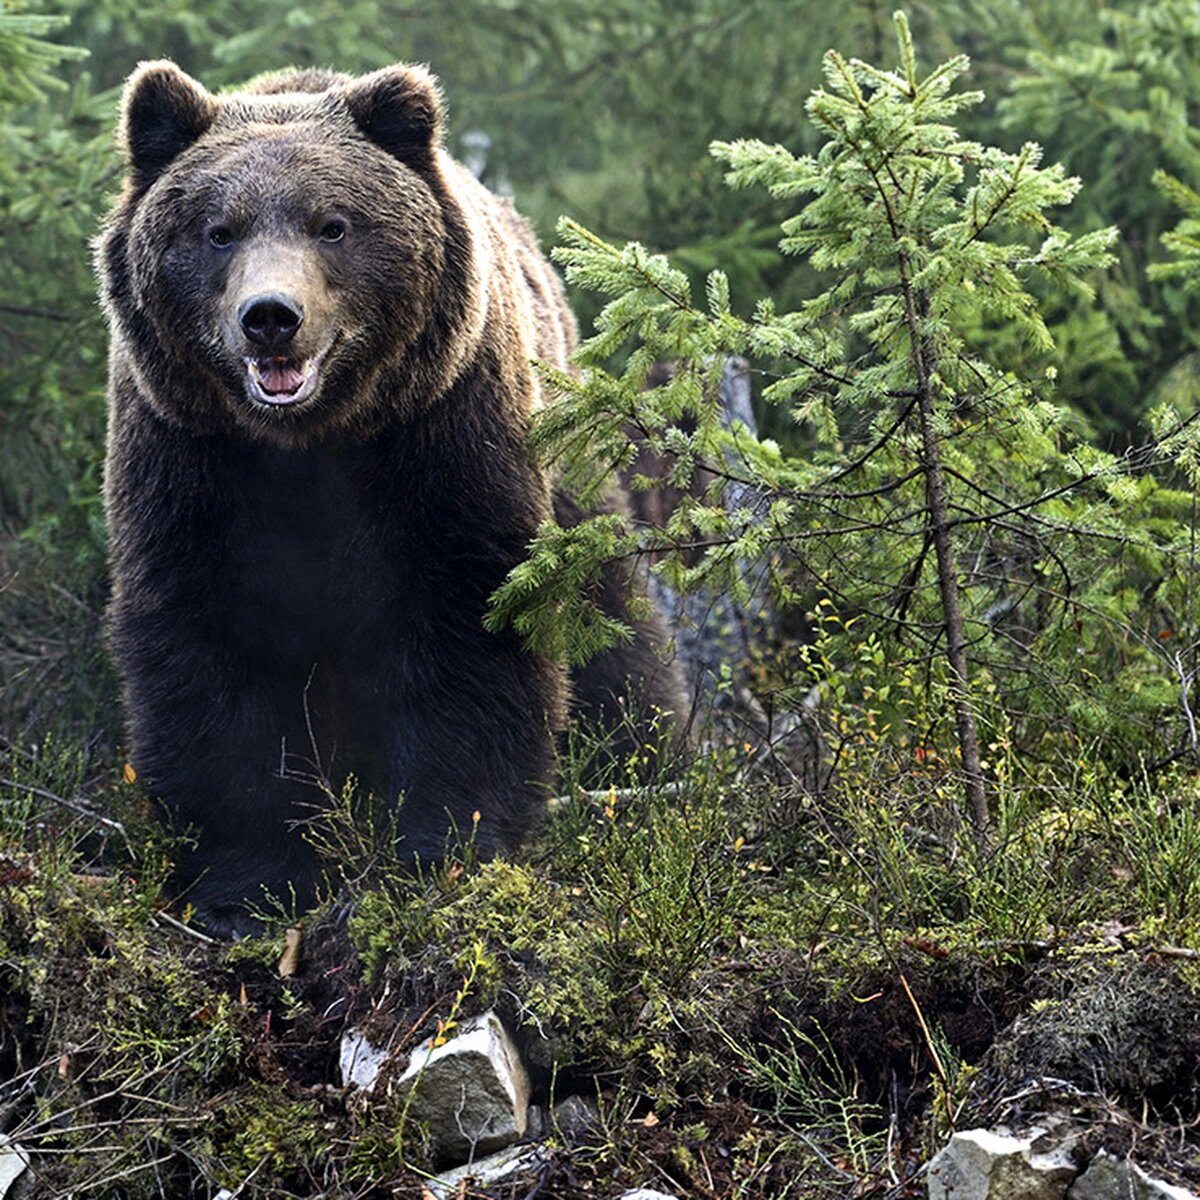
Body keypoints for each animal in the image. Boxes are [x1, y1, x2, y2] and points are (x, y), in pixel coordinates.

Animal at [98, 58, 686, 936]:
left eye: (332, 225)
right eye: (218, 230)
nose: (271, 317)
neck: (309, 441)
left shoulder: (441, 438)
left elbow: (471, 623)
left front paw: (446, 849)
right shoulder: (190, 461)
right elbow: (209, 653)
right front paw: (247, 887)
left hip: (566, 453)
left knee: (613, 619)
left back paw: (650, 754)